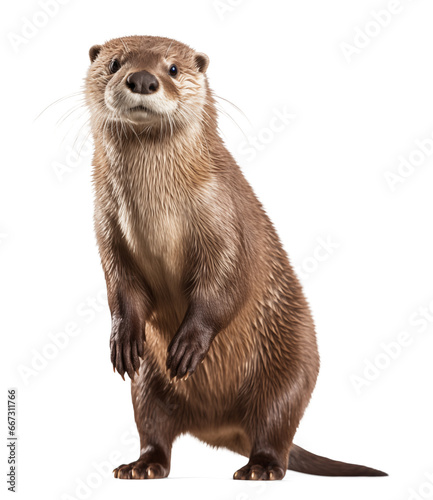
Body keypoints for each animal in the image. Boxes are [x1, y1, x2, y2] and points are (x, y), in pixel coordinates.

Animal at [83, 35, 384, 480]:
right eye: (115, 63)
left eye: (173, 68)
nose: (142, 78)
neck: (157, 210)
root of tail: (220, 428)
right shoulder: (107, 229)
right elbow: (120, 287)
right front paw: (122, 338)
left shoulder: (226, 218)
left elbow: (229, 283)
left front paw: (189, 344)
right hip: (147, 386)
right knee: (154, 429)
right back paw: (141, 466)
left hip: (290, 374)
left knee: (274, 431)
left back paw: (260, 468)